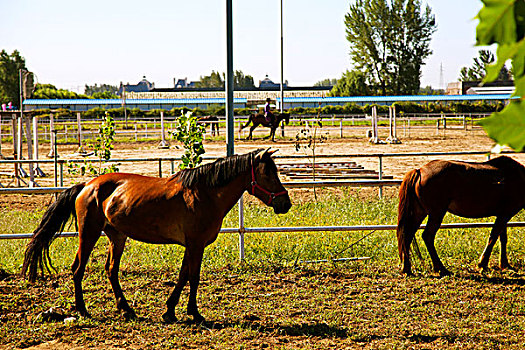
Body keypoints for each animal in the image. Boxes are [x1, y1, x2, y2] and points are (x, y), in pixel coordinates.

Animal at [22, 148, 290, 322]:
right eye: (268, 173)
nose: (285, 204)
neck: (205, 193)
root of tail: (86, 186)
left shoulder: (191, 245)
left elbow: (183, 276)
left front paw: (170, 311)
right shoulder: (196, 244)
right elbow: (193, 277)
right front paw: (194, 313)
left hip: (117, 236)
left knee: (111, 270)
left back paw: (126, 309)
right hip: (89, 234)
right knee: (78, 269)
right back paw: (83, 310)